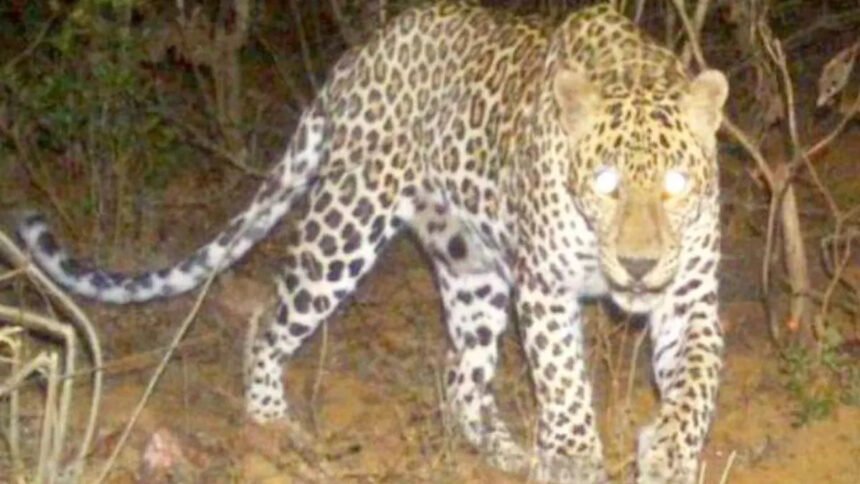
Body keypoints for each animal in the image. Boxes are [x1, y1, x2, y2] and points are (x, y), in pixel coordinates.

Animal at [18, 2, 728, 483]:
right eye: (605, 183)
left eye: (676, 183)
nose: (637, 266)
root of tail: (362, 53)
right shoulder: (547, 289)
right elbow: (565, 382)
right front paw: (577, 458)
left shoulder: (690, 298)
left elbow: (695, 384)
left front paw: (668, 454)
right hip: (346, 222)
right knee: (270, 318)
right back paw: (271, 425)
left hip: (471, 269)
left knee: (460, 376)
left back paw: (506, 451)